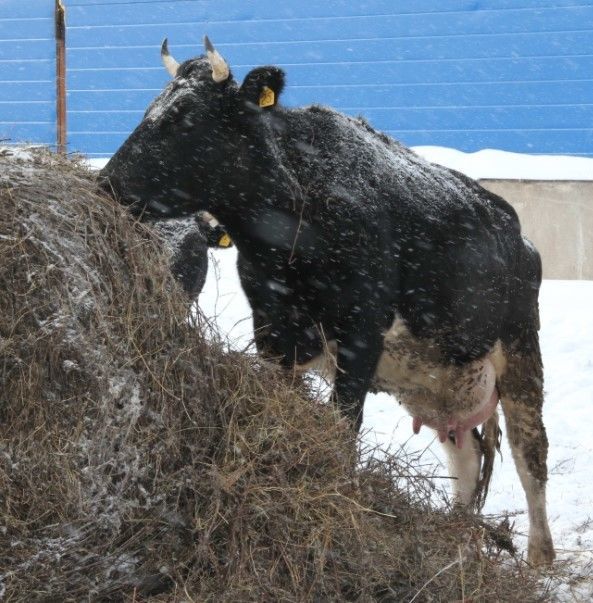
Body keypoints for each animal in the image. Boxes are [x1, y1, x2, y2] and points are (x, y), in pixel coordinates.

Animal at [97, 36, 556, 568]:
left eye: (185, 116)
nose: (105, 183)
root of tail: (518, 234)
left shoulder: (361, 332)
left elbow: (343, 424)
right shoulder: (273, 328)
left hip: (521, 349)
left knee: (530, 454)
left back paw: (539, 559)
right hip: (441, 381)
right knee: (466, 454)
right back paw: (454, 539)